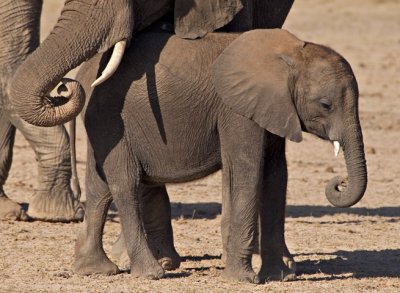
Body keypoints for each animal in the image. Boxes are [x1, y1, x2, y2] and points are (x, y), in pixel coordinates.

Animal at [68, 28, 366, 282]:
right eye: (325, 105)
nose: (338, 181)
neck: (291, 55)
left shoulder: (273, 108)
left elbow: (276, 174)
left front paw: (280, 276)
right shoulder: (236, 110)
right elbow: (248, 169)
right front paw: (243, 279)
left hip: (102, 123)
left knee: (100, 187)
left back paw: (94, 269)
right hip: (111, 119)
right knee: (125, 183)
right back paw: (151, 273)